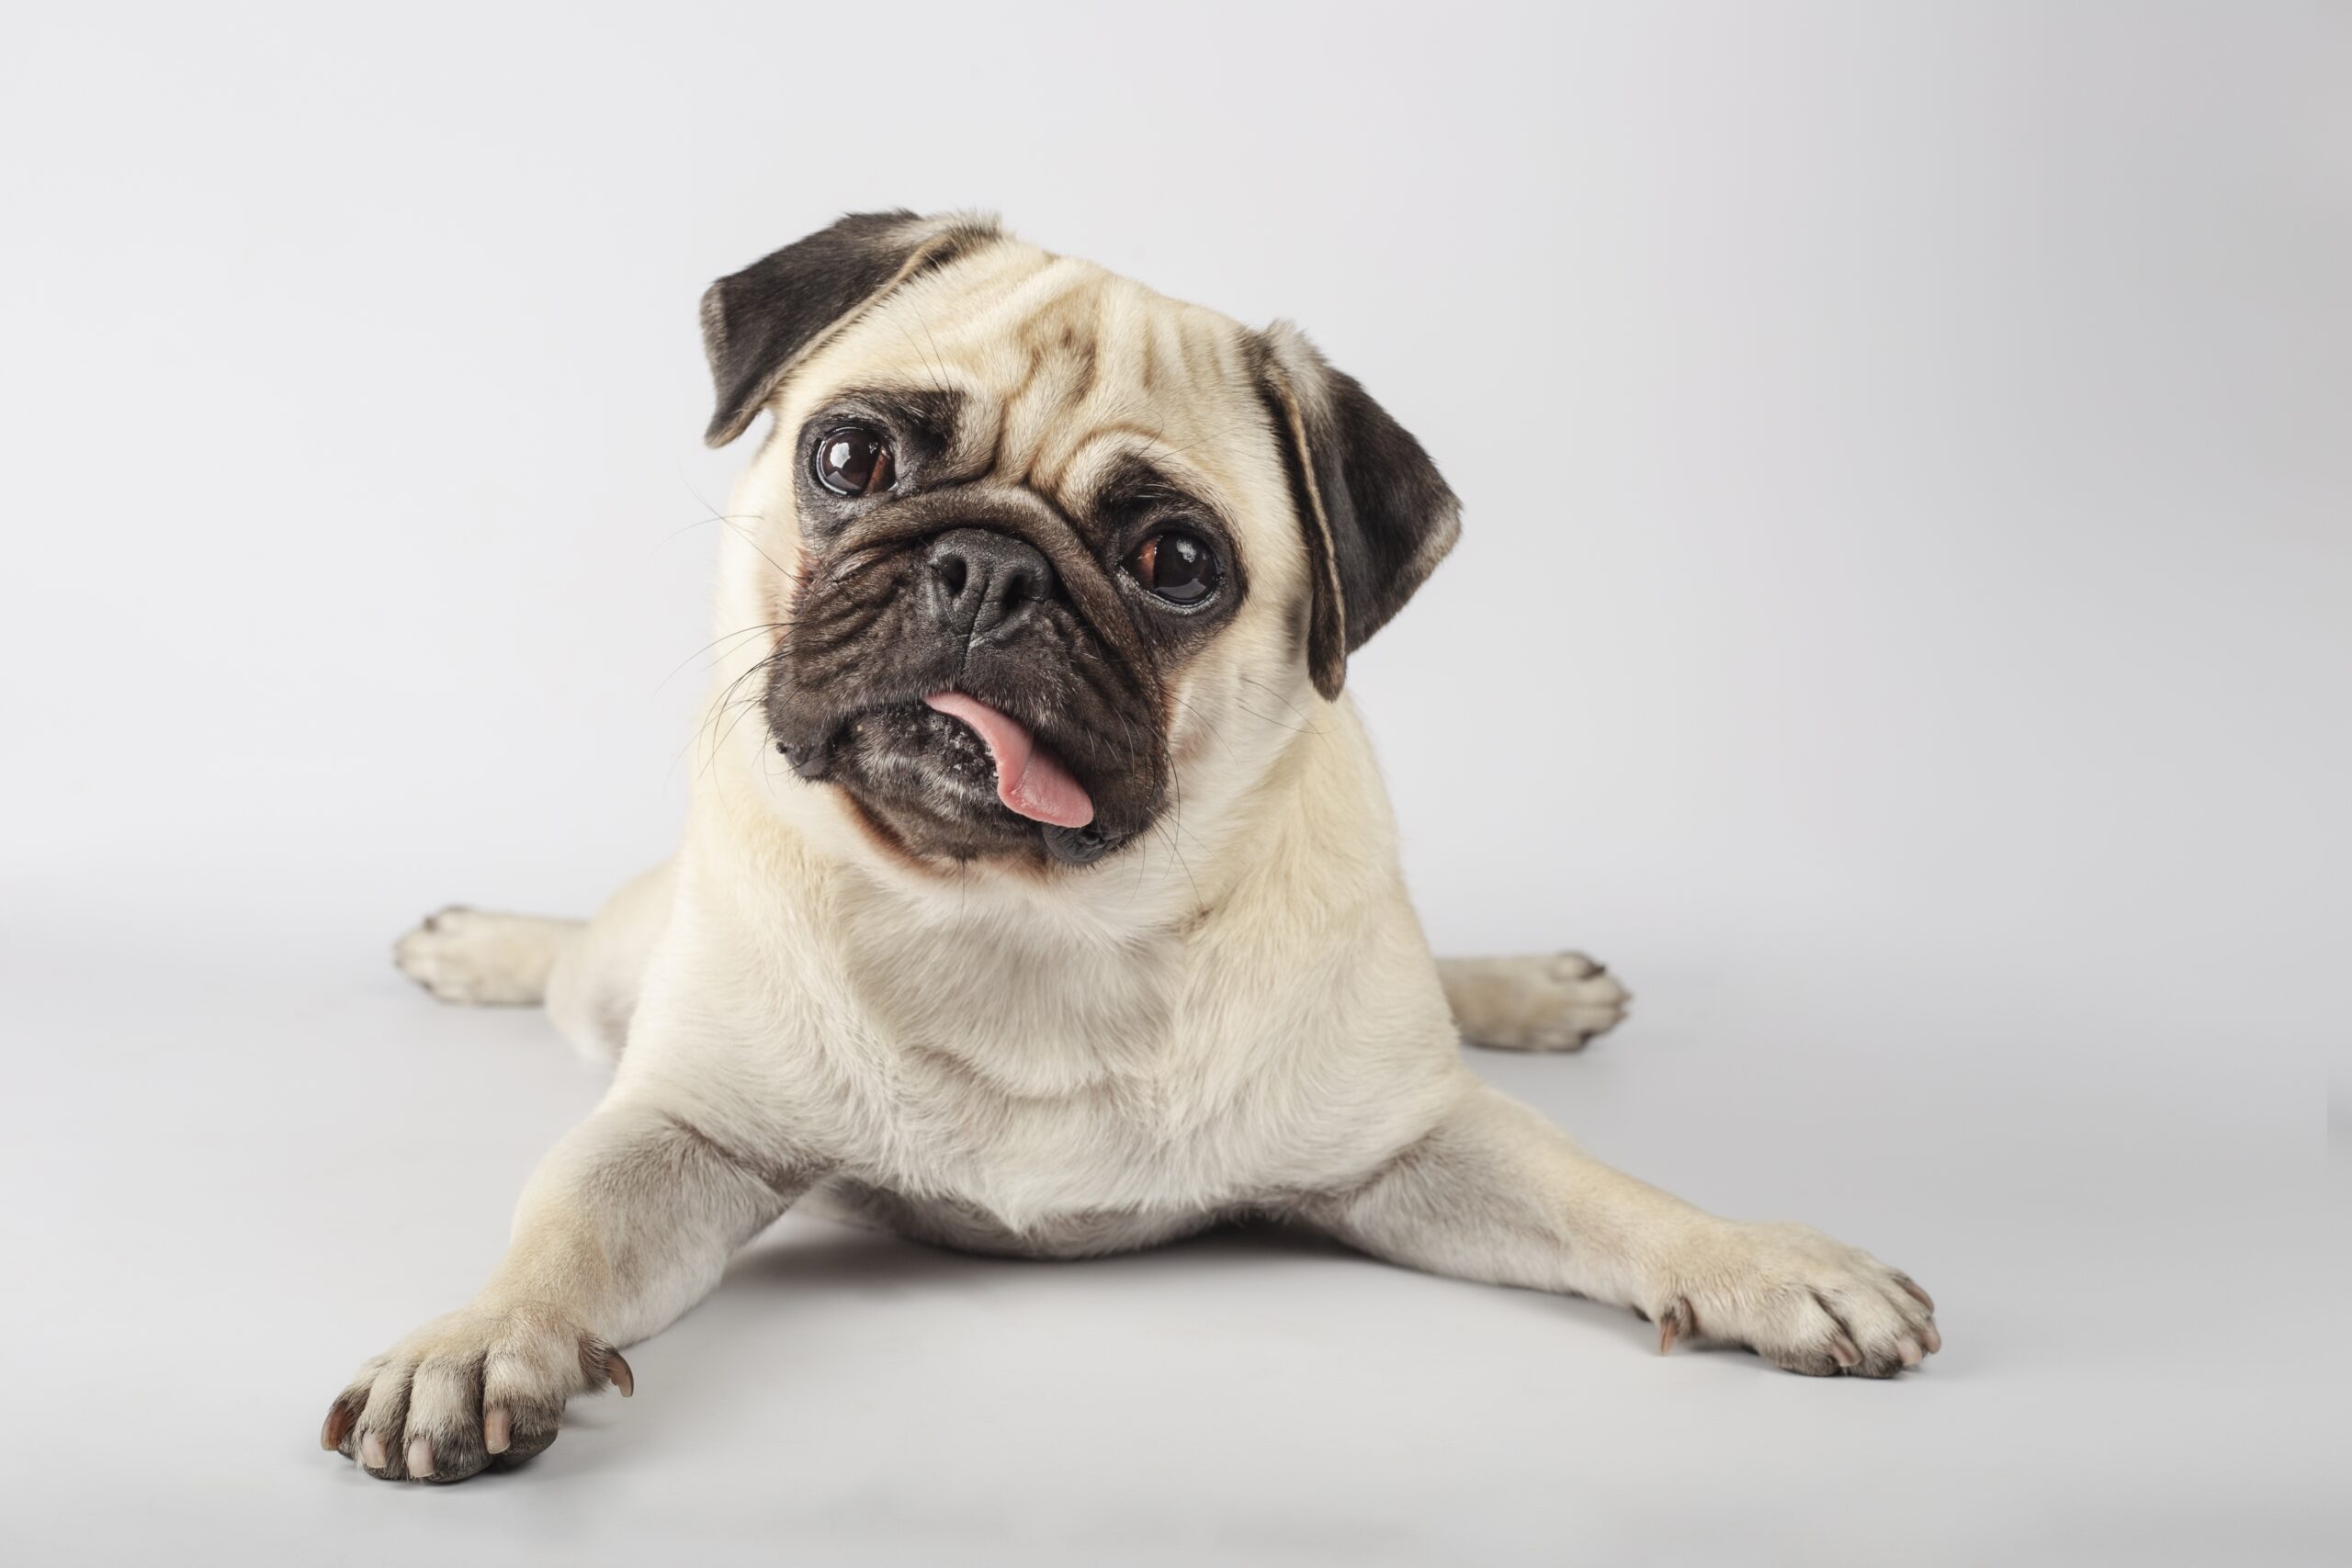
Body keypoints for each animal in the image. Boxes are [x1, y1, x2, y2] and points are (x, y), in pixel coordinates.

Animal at [336, 208, 1947, 1485]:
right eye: (849, 454)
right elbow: (562, 1234)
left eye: (1177, 563)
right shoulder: (684, 1133)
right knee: (578, 960)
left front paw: (1760, 1260)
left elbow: (1608, 1196)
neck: (1028, 921)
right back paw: (478, 942)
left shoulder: (1415, 1140)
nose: (986, 567)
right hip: (626, 973)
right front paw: (479, 1341)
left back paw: (1526, 987)